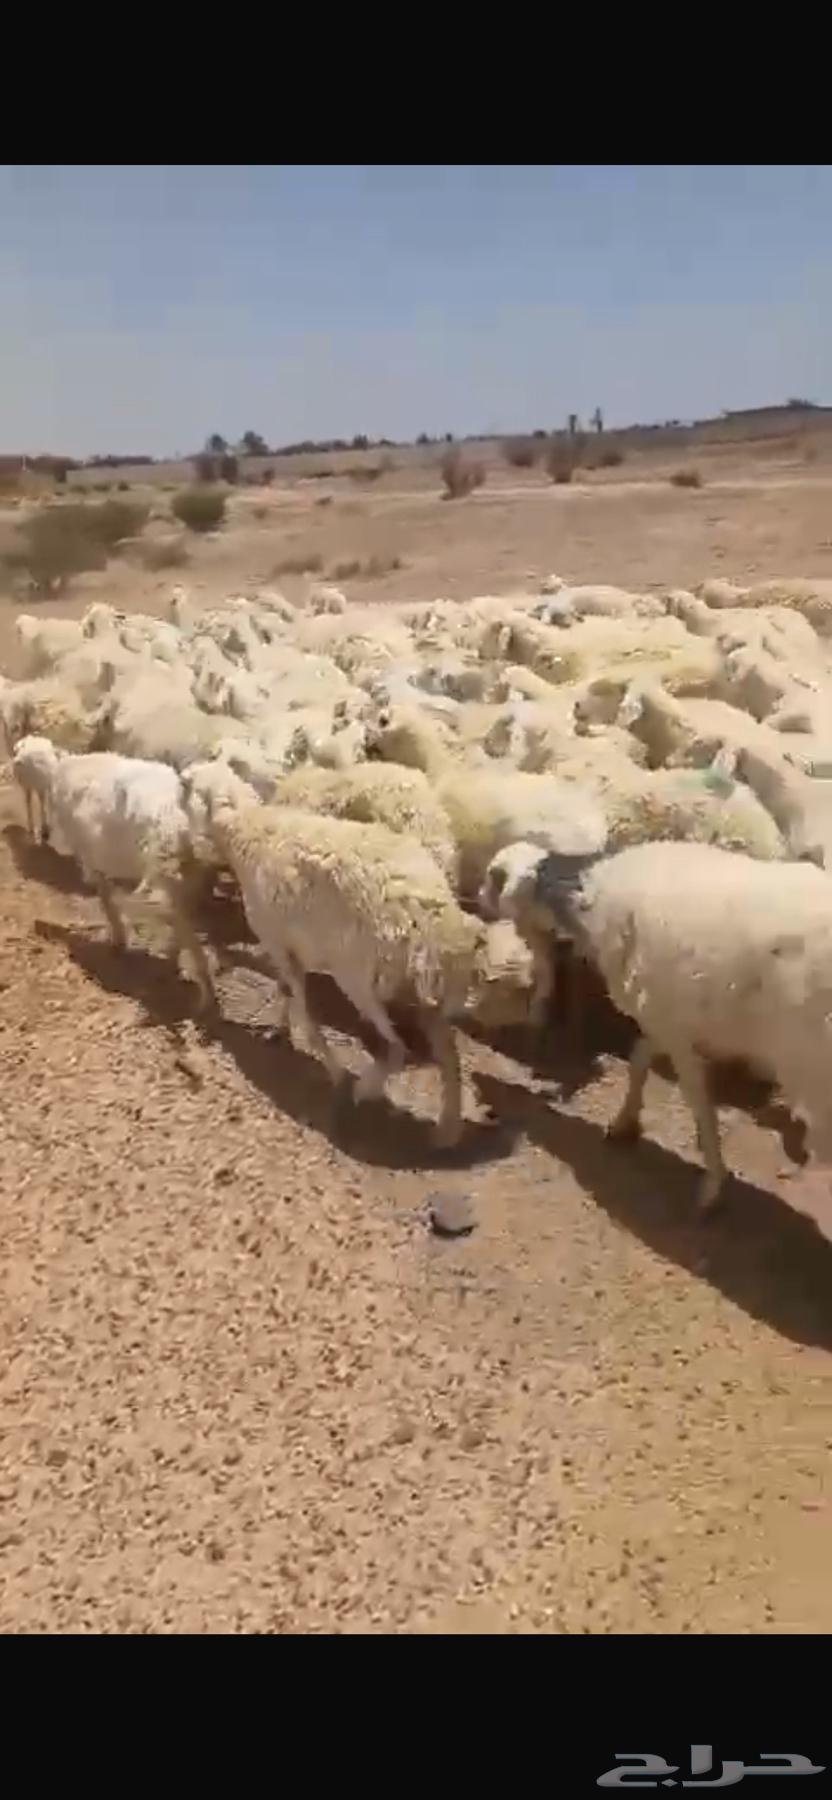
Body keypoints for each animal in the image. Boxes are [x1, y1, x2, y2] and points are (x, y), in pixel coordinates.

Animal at [182, 761, 530, 1146]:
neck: (247, 831)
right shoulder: (291, 949)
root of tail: (438, 919)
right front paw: (280, 1030)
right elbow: (288, 994)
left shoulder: (276, 940)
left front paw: (330, 1066)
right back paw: (447, 1131)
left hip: (362, 977)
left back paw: (365, 1089)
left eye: (188, 786)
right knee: (448, 1053)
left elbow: (301, 1006)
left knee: (399, 1048)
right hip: (416, 983)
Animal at [482, 837, 832, 1210]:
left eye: (494, 876)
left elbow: (700, 1104)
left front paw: (712, 1184)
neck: (591, 896)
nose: (477, 897)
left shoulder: (679, 1032)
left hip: (815, 1075)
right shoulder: (659, 1017)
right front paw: (625, 1123)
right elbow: (638, 1059)